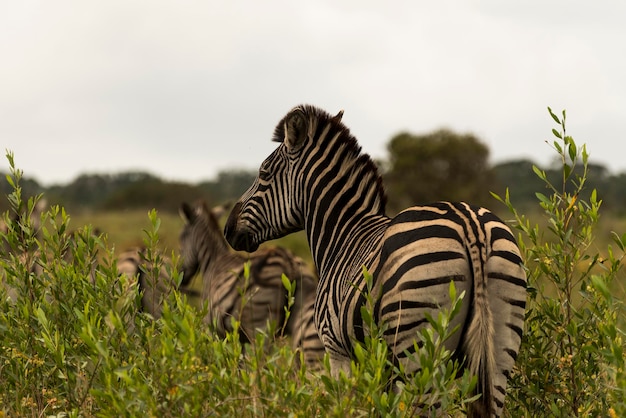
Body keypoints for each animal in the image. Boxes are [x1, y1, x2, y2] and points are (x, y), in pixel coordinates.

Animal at [176, 199, 322, 366]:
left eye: (181, 237)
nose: (180, 276)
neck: (213, 263)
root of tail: (288, 263)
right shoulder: (239, 338)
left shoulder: (214, 329)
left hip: (260, 329)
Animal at [222, 103, 524, 414]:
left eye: (264, 174)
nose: (228, 229)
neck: (343, 234)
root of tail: (469, 224)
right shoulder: (380, 363)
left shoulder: (337, 350)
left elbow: (346, 405)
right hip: (501, 345)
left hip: (419, 347)